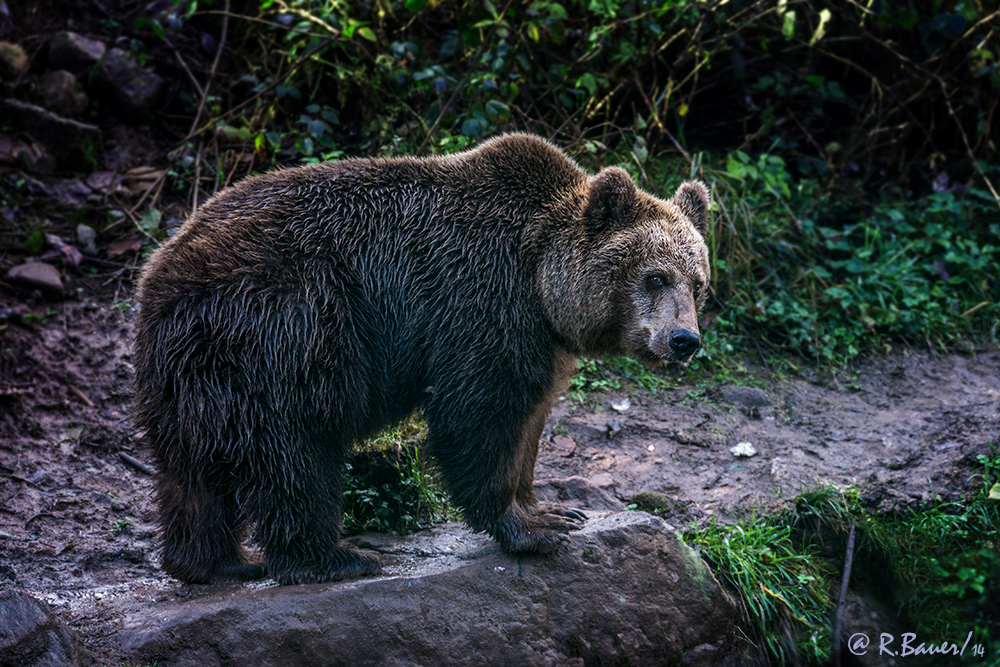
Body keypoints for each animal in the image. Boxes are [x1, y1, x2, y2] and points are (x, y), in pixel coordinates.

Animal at [133, 134, 712, 584]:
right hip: (286, 328)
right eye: (654, 276)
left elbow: (529, 419)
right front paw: (530, 528)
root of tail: (158, 271)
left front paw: (552, 509)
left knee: (193, 472)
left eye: (698, 283)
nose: (684, 339)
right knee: (296, 448)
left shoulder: (541, 339)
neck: (540, 279)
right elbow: (480, 414)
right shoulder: (479, 301)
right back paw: (333, 557)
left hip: (193, 373)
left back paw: (216, 563)